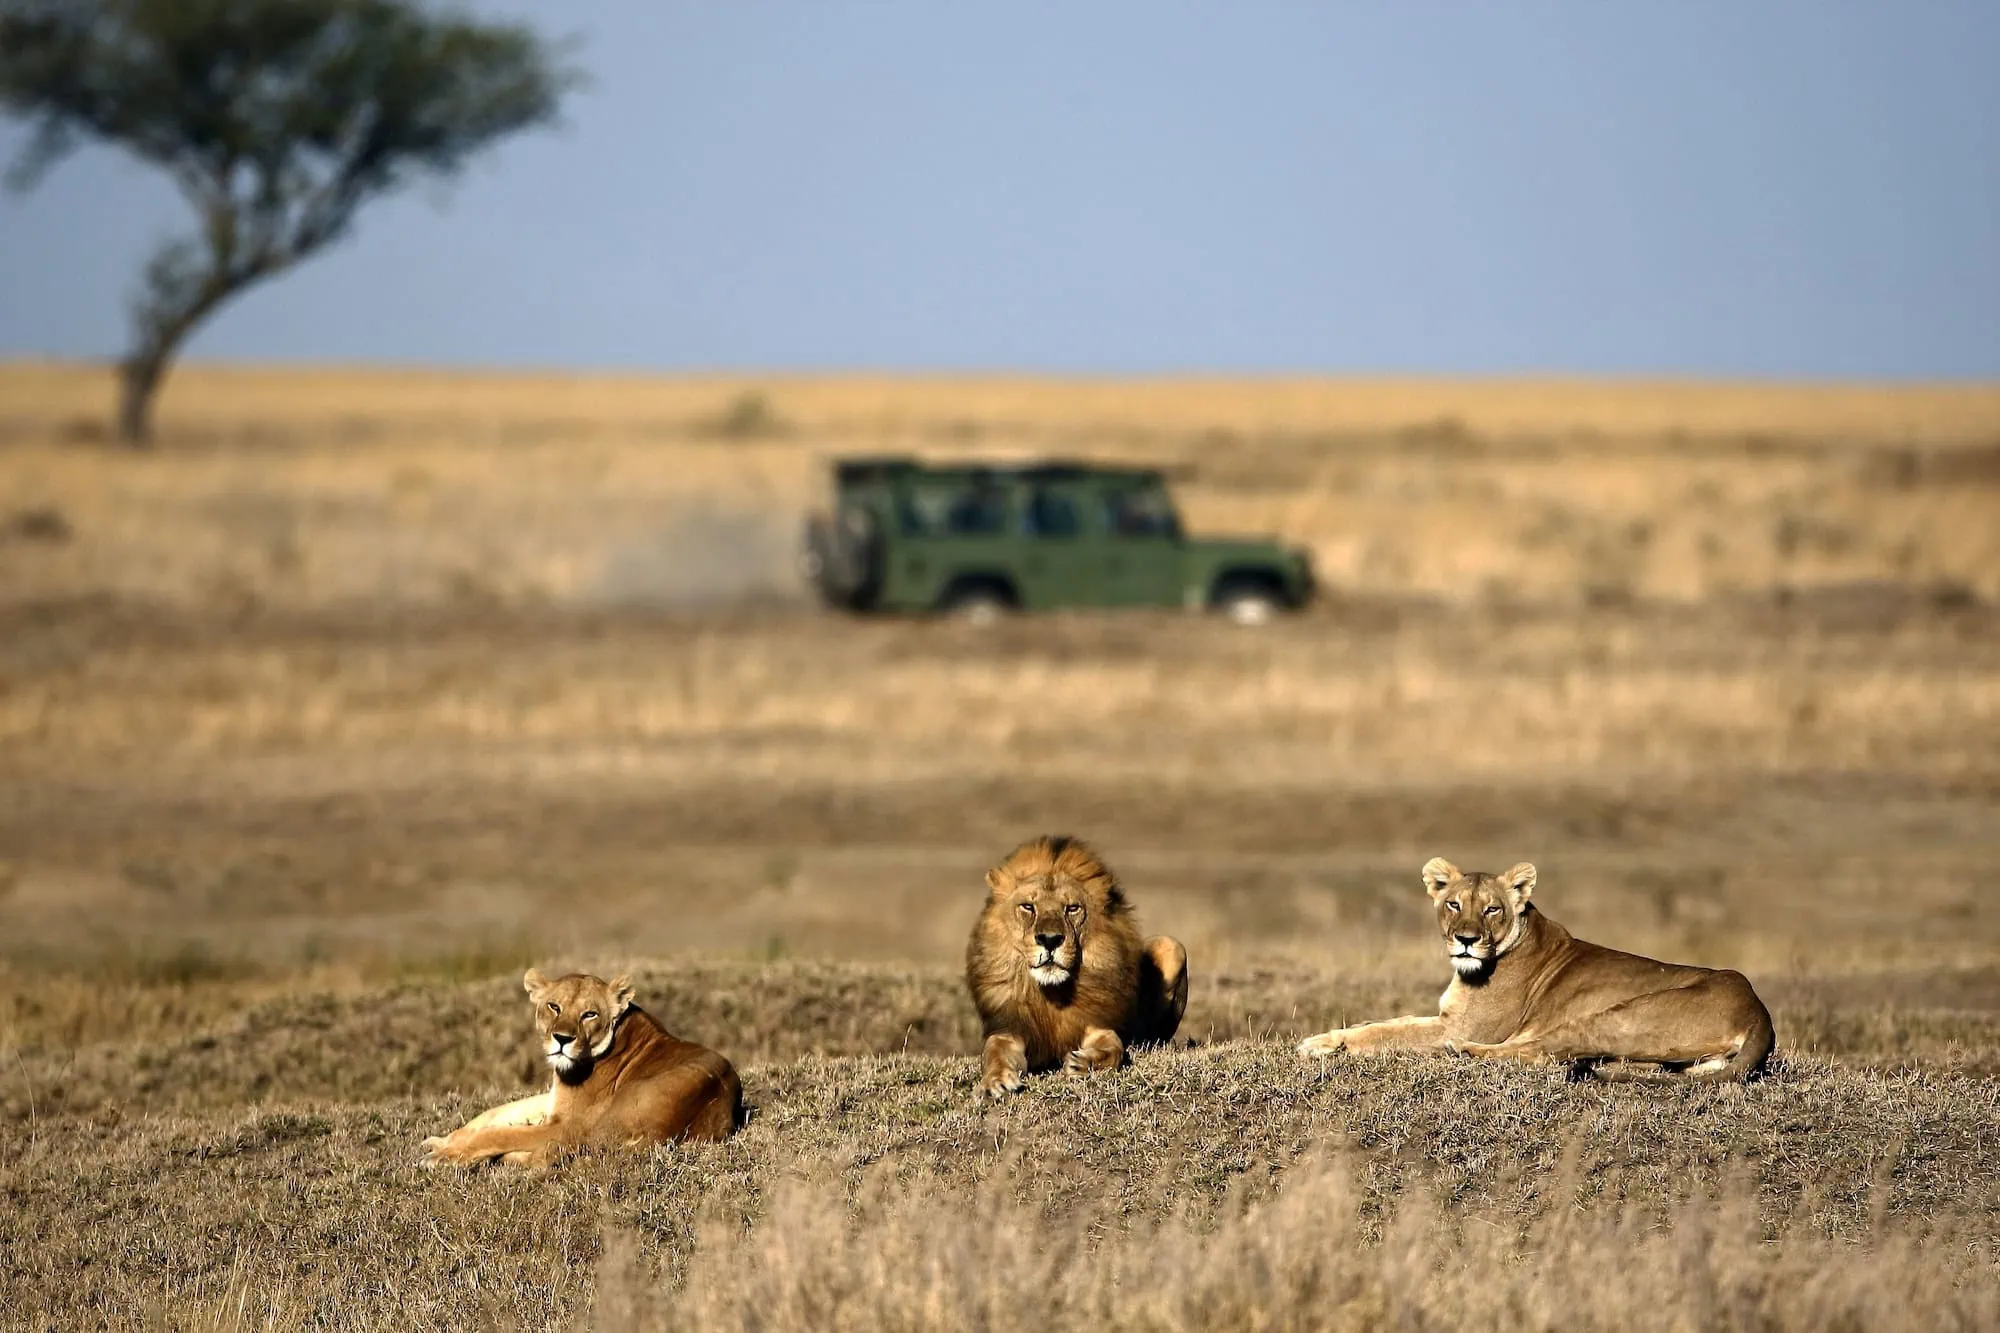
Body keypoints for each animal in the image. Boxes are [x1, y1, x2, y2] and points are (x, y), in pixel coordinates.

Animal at [422, 968, 742, 1167]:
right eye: (554, 1006)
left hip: (588, 1128)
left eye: (590, 1014)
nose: (562, 1039)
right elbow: (496, 1112)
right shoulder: (554, 1100)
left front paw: (444, 1156)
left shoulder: (565, 1124)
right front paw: (441, 1140)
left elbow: (499, 1133)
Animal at [966, 834, 1189, 1099]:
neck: (1052, 993)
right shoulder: (1010, 1028)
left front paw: (1083, 1064)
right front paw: (995, 1081)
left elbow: (1113, 1048)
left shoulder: (1097, 1024)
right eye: (1028, 907)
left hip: (1172, 947)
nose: (1050, 939)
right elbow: (994, 1053)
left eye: (1072, 908)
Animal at [1297, 858, 1774, 1082]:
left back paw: (1461, 1053)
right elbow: (1386, 1021)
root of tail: (1759, 1012)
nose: (1466, 939)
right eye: (1453, 904)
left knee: (1545, 1053)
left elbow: (1388, 1033)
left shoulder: (1461, 1025)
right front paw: (1326, 1039)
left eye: (1491, 909)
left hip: (1614, 1017)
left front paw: (1321, 1046)